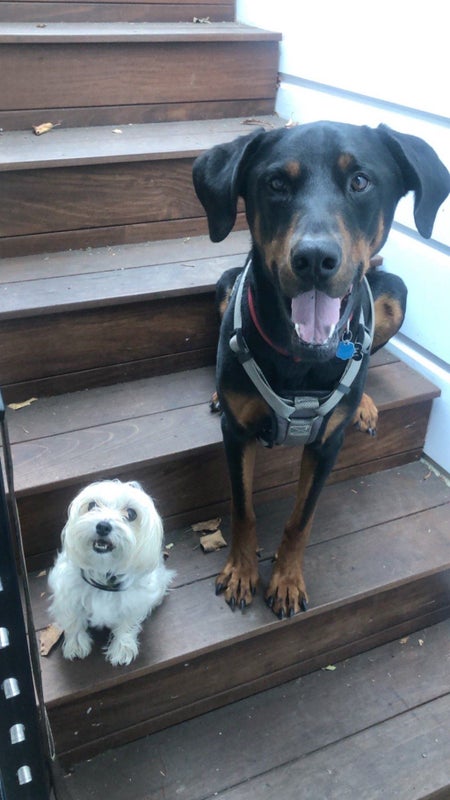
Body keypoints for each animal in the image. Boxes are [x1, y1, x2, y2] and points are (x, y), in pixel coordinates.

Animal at [48, 480, 174, 665]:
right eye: (92, 505)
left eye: (131, 513)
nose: (103, 526)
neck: (103, 571)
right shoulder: (68, 593)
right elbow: (73, 619)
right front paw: (76, 643)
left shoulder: (133, 602)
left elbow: (127, 624)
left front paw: (122, 647)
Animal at [193, 121, 450, 618]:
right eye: (276, 183)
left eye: (360, 181)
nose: (314, 259)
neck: (299, 359)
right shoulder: (237, 434)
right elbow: (242, 507)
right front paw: (241, 572)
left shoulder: (327, 444)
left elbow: (302, 518)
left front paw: (287, 581)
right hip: (226, 283)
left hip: (393, 292)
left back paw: (363, 402)